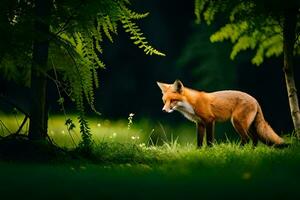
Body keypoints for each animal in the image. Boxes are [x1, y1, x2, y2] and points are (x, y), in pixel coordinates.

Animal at [157, 79, 286, 147]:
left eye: (172, 101)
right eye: (164, 101)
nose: (163, 110)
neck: (191, 104)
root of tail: (255, 100)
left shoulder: (209, 120)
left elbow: (209, 140)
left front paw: (209, 152)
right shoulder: (200, 123)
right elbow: (199, 141)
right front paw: (198, 152)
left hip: (237, 122)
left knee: (247, 139)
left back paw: (239, 151)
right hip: (248, 125)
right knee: (255, 139)